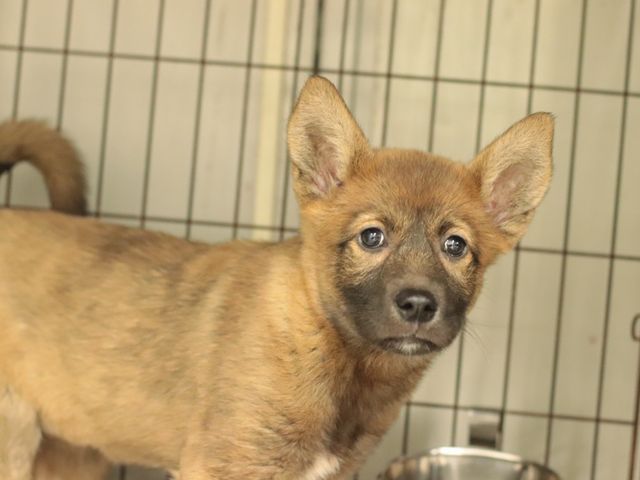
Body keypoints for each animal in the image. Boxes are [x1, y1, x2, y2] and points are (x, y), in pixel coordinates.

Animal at [0, 76, 553, 480]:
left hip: (71, 454)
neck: (336, 353)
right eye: (371, 237)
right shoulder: (225, 465)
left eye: (455, 246)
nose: (418, 305)